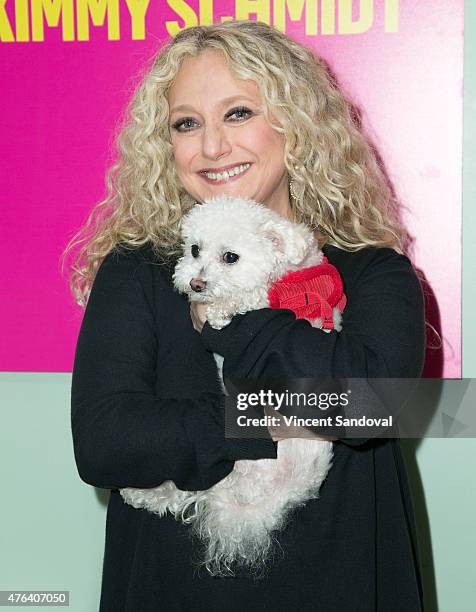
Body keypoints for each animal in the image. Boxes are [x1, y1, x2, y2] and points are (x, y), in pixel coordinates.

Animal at [120, 197, 342, 580]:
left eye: (231, 257)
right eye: (195, 249)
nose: (195, 284)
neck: (285, 273)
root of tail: (276, 499)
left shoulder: (288, 307)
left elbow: (249, 298)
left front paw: (223, 307)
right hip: (218, 472)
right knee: (183, 493)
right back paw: (142, 493)